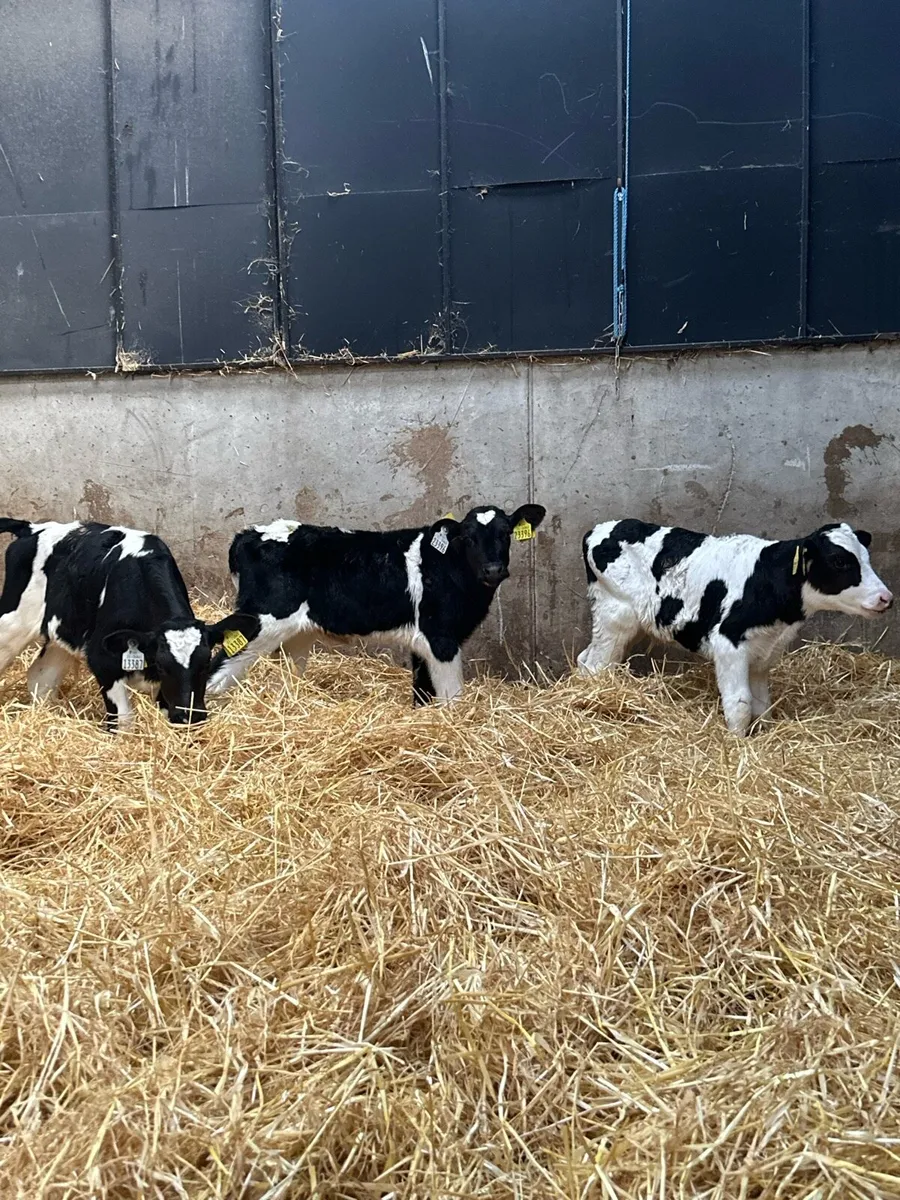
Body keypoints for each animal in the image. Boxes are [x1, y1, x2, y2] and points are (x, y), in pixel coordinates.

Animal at [0, 519, 257, 730]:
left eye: (205, 663)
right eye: (163, 665)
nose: (190, 715)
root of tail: (30, 528)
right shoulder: (101, 659)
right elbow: (124, 720)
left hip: (63, 633)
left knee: (41, 678)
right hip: (12, 624)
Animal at [207, 504, 547, 704]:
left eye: (505, 534)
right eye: (469, 538)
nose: (493, 569)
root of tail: (248, 534)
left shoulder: (423, 642)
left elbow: (422, 691)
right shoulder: (441, 638)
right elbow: (452, 696)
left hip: (295, 634)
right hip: (259, 622)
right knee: (215, 672)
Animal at [577, 519, 893, 735]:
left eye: (866, 557)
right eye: (839, 561)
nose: (886, 598)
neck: (766, 579)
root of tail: (599, 529)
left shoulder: (764, 651)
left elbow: (762, 705)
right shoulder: (729, 644)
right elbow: (740, 704)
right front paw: (737, 743)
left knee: (585, 659)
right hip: (615, 615)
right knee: (595, 666)